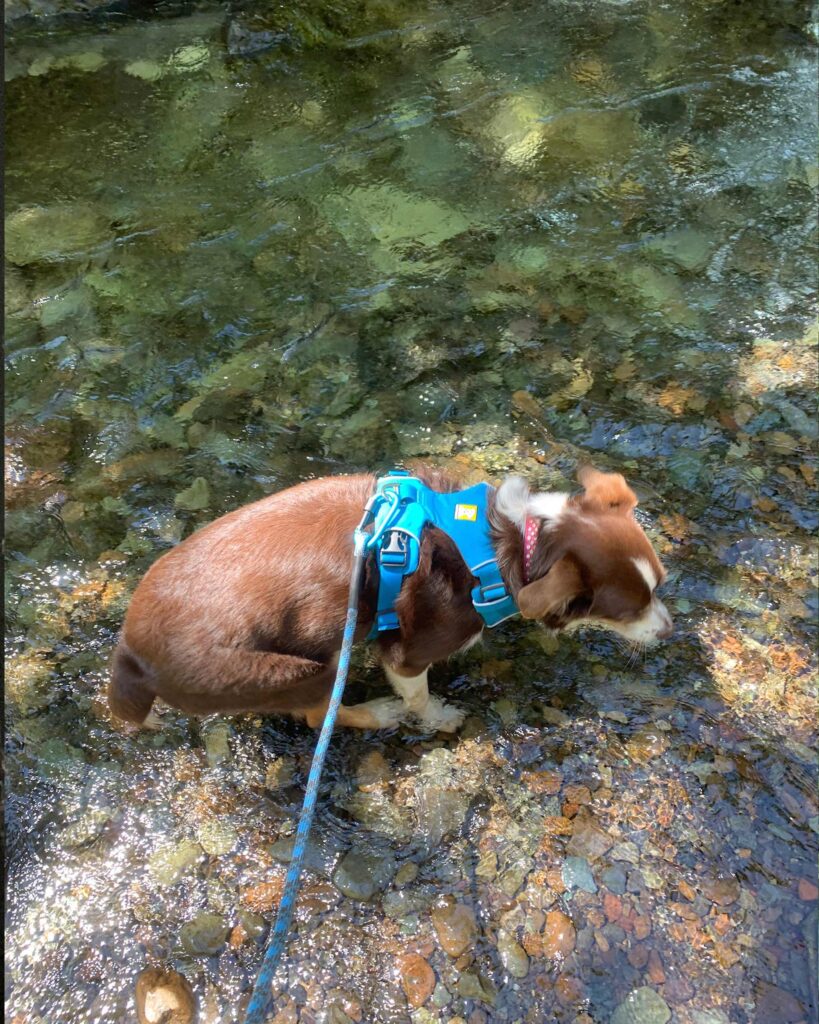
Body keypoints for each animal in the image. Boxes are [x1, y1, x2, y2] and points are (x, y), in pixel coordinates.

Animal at [108, 468, 671, 733]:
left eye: (662, 584)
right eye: (629, 610)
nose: (669, 631)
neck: (507, 541)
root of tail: (129, 654)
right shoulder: (407, 651)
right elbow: (418, 694)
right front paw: (438, 717)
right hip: (292, 668)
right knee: (317, 716)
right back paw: (378, 714)